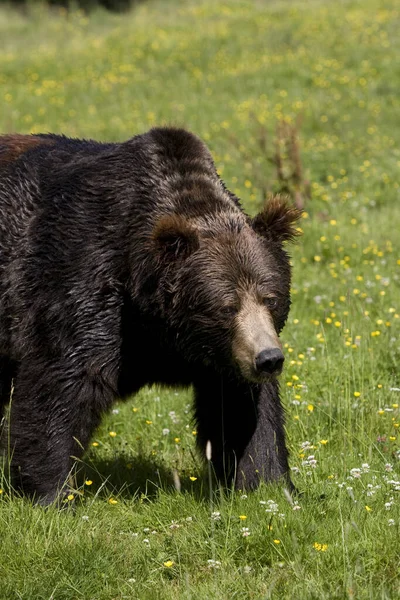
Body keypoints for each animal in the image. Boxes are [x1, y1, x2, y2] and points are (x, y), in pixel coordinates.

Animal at [0, 126, 300, 502]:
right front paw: (52, 492)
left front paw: (267, 483)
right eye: (226, 306)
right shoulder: (86, 286)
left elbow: (244, 412)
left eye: (270, 298)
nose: (268, 359)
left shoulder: (225, 358)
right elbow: (61, 383)